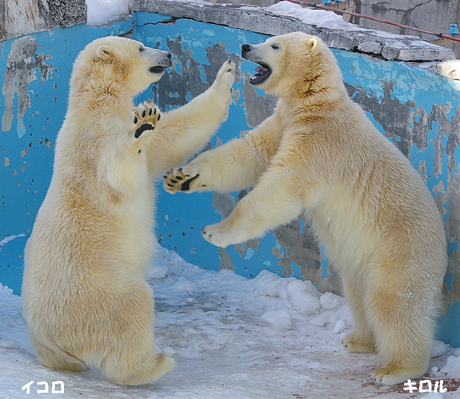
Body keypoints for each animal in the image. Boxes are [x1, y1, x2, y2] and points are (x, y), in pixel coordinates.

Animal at [22, 36, 235, 386]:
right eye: (140, 47)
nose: (167, 54)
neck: (97, 104)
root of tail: (52, 342)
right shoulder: (91, 144)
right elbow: (115, 177)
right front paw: (142, 124)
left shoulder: (144, 143)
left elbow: (175, 135)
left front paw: (226, 75)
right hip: (92, 294)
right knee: (131, 307)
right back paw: (154, 365)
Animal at [164, 32, 448, 386]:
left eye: (274, 45)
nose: (245, 47)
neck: (315, 104)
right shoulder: (284, 122)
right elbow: (248, 154)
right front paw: (181, 176)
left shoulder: (320, 142)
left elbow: (282, 186)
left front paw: (216, 231)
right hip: (364, 260)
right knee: (359, 295)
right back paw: (358, 340)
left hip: (400, 251)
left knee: (392, 303)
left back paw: (394, 369)